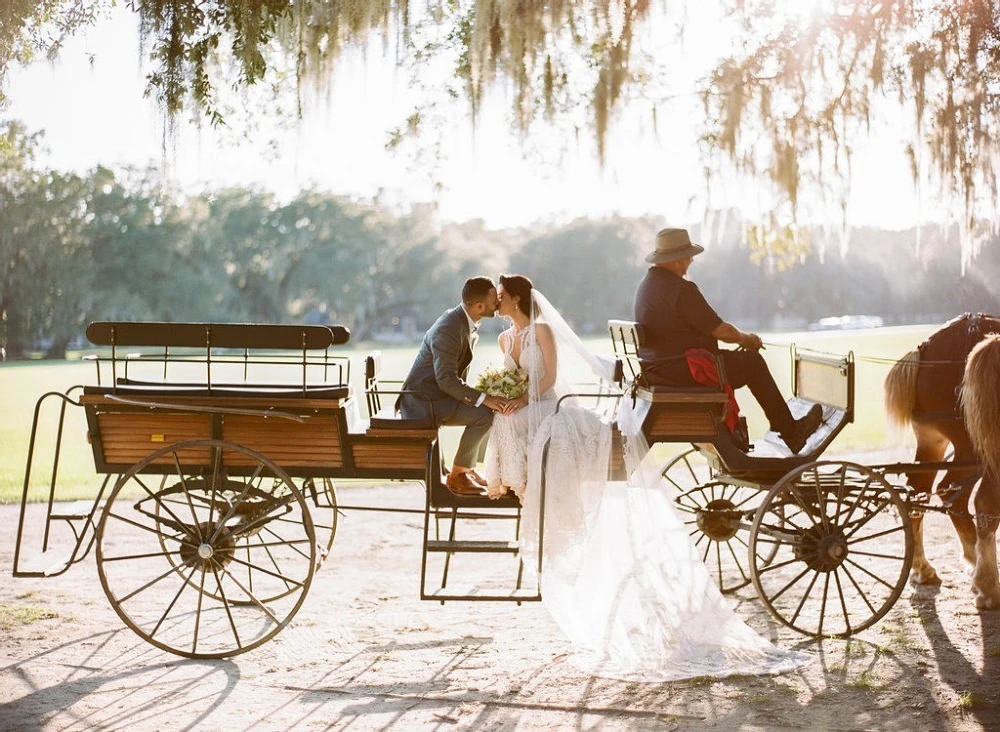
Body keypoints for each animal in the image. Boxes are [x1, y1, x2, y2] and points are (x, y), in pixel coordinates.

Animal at [884, 312, 1000, 608]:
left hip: (933, 441)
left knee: (921, 492)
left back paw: (925, 567)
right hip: (976, 450)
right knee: (978, 502)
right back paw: (987, 584)